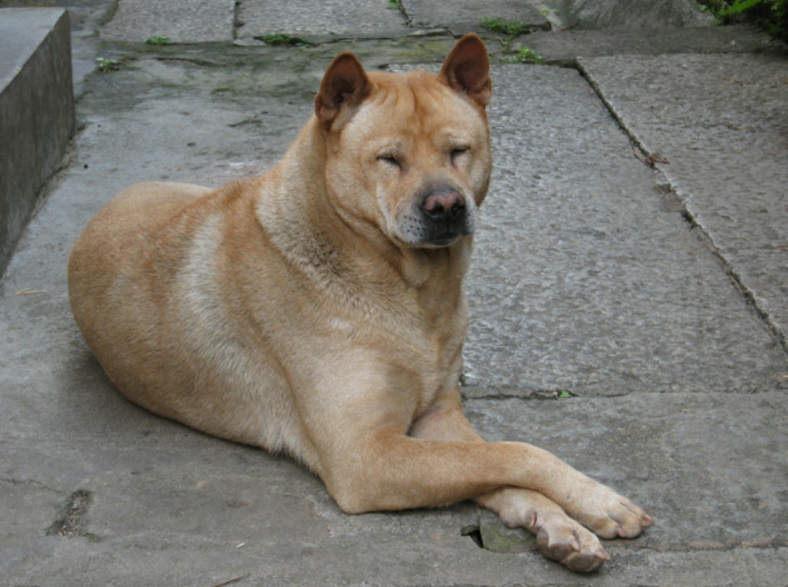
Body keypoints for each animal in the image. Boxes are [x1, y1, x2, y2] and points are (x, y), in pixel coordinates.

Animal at [67, 34, 648, 572]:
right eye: (389, 159)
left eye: (459, 150)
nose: (446, 205)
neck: (408, 289)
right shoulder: (364, 456)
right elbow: (517, 452)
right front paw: (596, 499)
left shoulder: (438, 418)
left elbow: (494, 461)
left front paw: (558, 523)